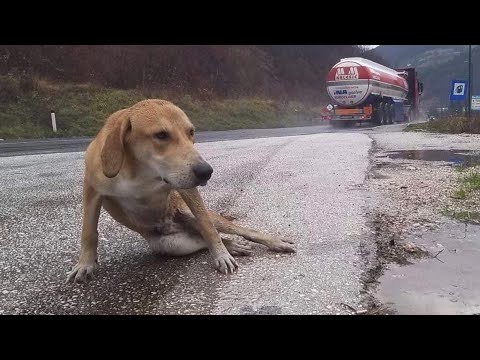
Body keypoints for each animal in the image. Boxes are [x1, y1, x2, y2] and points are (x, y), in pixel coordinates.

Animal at [66, 100, 294, 282]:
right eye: (161, 135)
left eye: (191, 132)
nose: (206, 172)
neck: (140, 171)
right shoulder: (92, 190)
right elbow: (88, 231)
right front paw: (85, 264)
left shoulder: (186, 188)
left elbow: (209, 228)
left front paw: (221, 255)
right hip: (172, 245)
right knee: (200, 239)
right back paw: (232, 246)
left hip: (190, 215)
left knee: (230, 230)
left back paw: (270, 243)